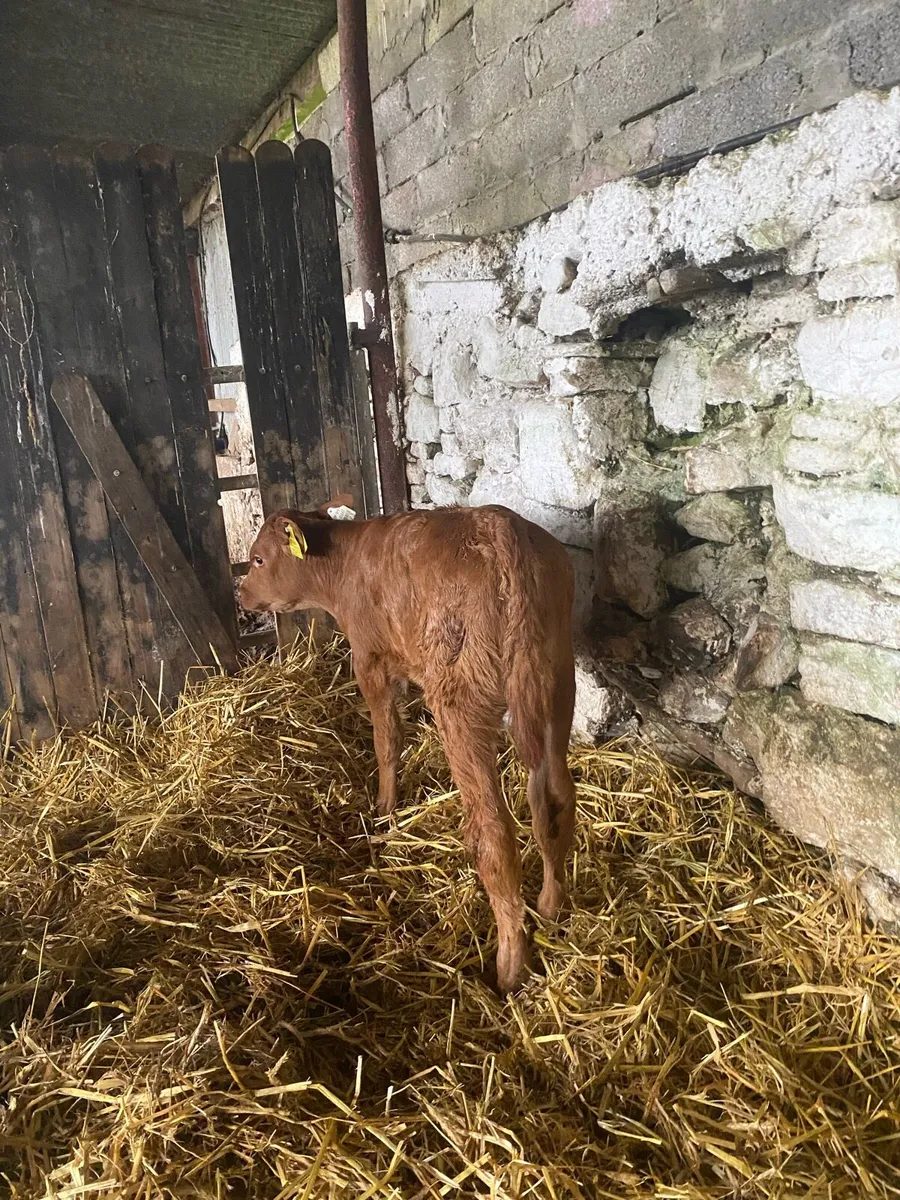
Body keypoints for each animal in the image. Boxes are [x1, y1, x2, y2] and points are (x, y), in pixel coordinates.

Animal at [240, 499, 577, 992]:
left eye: (258, 559)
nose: (242, 596)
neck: (345, 563)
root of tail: (501, 530)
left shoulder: (369, 659)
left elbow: (387, 738)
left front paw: (383, 808)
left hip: (460, 695)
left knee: (494, 833)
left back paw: (509, 963)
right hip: (556, 684)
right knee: (554, 798)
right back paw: (552, 906)